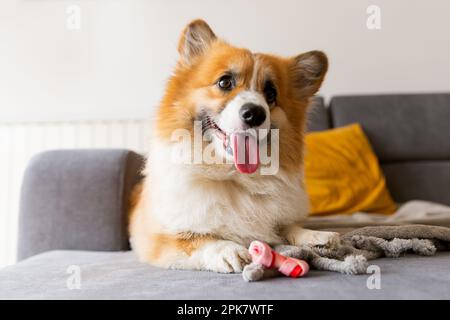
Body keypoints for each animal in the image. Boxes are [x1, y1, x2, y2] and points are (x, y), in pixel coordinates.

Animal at [128, 19, 340, 272]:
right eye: (225, 82)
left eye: (271, 94)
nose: (255, 114)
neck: (232, 176)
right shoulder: (161, 239)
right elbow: (199, 238)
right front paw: (229, 250)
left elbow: (289, 227)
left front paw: (316, 236)